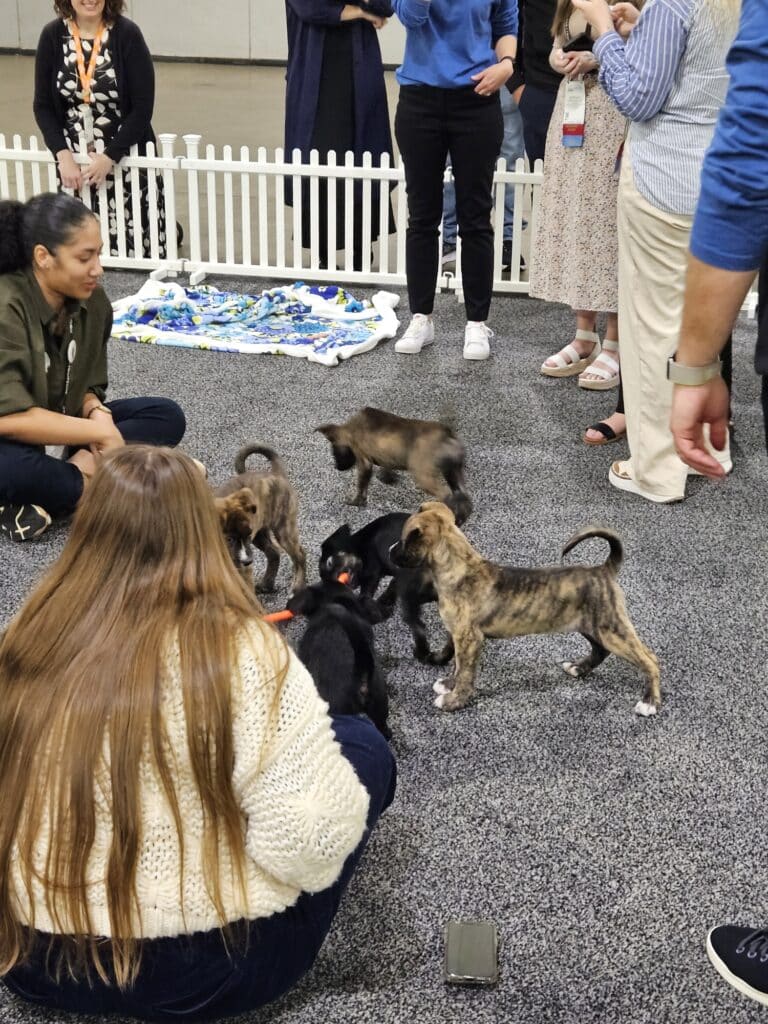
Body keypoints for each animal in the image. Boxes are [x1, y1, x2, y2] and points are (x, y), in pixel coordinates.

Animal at [214, 444, 307, 598]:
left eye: (247, 536)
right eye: (229, 539)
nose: (247, 561)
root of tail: (276, 474)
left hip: (283, 529)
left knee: (299, 555)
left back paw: (297, 588)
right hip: (260, 533)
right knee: (274, 553)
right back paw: (266, 585)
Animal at [313, 403, 473, 524]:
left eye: (335, 451)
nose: (337, 467)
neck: (352, 427)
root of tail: (447, 434)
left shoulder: (363, 460)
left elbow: (362, 485)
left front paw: (356, 502)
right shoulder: (385, 454)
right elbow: (387, 467)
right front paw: (387, 478)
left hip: (425, 477)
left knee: (447, 495)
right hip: (453, 472)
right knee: (463, 496)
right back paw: (460, 519)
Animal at [319, 516, 454, 667]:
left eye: (330, 563)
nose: (337, 583)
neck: (360, 545)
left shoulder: (373, 572)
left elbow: (365, 597)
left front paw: (379, 611)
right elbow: (391, 585)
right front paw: (384, 603)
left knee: (419, 627)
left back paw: (423, 654)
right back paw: (438, 658)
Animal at [393, 505, 663, 720]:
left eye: (404, 540)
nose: (389, 551)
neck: (460, 570)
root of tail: (604, 570)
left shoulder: (470, 639)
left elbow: (465, 672)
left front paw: (454, 701)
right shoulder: (459, 636)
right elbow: (458, 666)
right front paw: (449, 685)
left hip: (612, 629)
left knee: (649, 659)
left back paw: (649, 702)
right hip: (591, 626)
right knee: (601, 650)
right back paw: (579, 668)